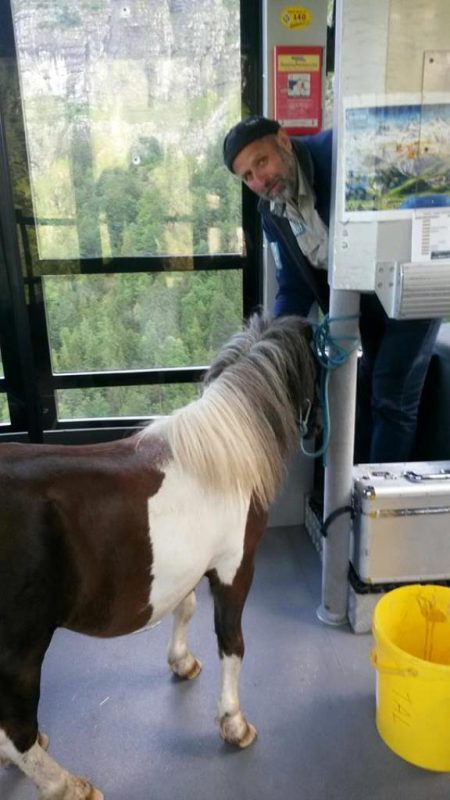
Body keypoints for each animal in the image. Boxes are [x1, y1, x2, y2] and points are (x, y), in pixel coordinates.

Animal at [0, 314, 316, 800]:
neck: (222, 458)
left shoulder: (190, 567)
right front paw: (234, 723)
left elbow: (184, 607)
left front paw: (182, 662)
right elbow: (233, 644)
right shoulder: (234, 570)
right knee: (16, 731)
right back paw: (67, 785)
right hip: (21, 652)